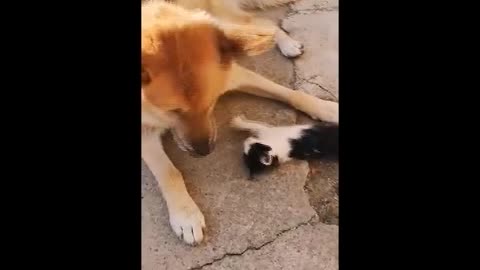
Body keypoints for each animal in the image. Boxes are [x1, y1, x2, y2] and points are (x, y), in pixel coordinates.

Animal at [141, 0, 340, 245]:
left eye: (212, 102)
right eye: (172, 111)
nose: (205, 151)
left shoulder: (234, 74)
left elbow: (292, 94)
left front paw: (327, 108)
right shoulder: (144, 133)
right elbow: (170, 173)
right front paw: (185, 214)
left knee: (262, 23)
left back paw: (285, 43)